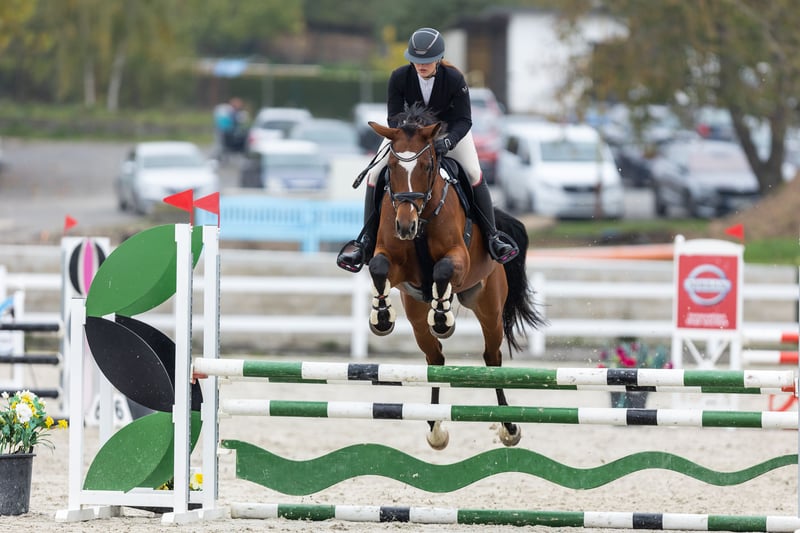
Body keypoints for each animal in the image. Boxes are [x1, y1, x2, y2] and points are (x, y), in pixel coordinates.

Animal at [365, 105, 545, 450]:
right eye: (391, 167)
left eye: (426, 165)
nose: (404, 226)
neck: (421, 218)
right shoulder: (395, 263)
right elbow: (378, 267)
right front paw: (381, 317)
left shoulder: (458, 258)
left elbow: (443, 270)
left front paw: (443, 317)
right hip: (415, 311)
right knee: (435, 360)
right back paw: (435, 428)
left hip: (488, 306)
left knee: (492, 358)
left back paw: (509, 428)